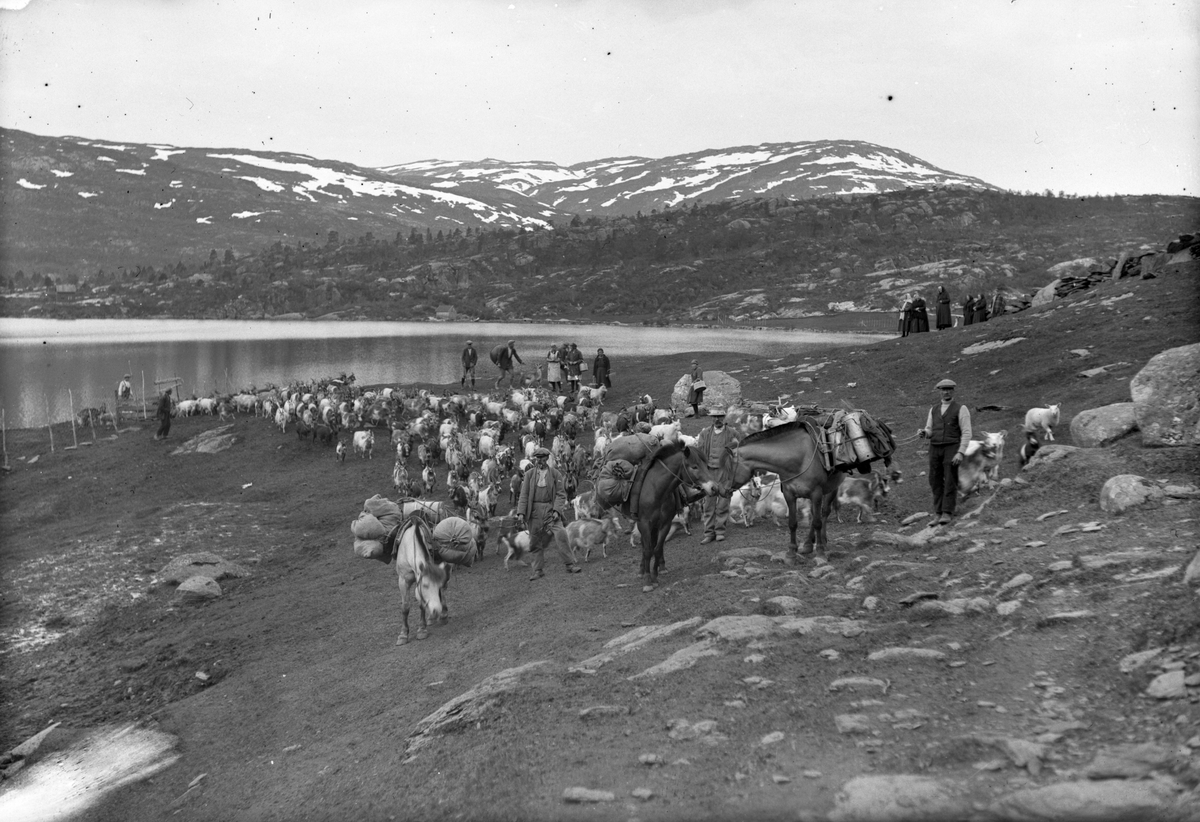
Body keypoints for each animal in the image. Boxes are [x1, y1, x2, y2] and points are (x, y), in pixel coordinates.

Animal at [633, 441, 715, 590]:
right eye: (694, 466)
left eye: (706, 465)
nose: (713, 487)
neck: (655, 489)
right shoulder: (644, 523)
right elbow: (648, 550)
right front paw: (648, 581)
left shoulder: (665, 523)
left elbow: (657, 549)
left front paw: (654, 577)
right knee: (645, 546)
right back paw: (643, 571)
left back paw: (660, 567)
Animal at [720, 420, 844, 561]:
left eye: (729, 468)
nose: (722, 490)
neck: (798, 458)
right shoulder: (790, 495)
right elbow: (793, 523)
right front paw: (791, 552)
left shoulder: (816, 494)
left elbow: (817, 522)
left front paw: (820, 552)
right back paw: (808, 544)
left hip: (831, 489)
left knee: (824, 513)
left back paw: (822, 541)